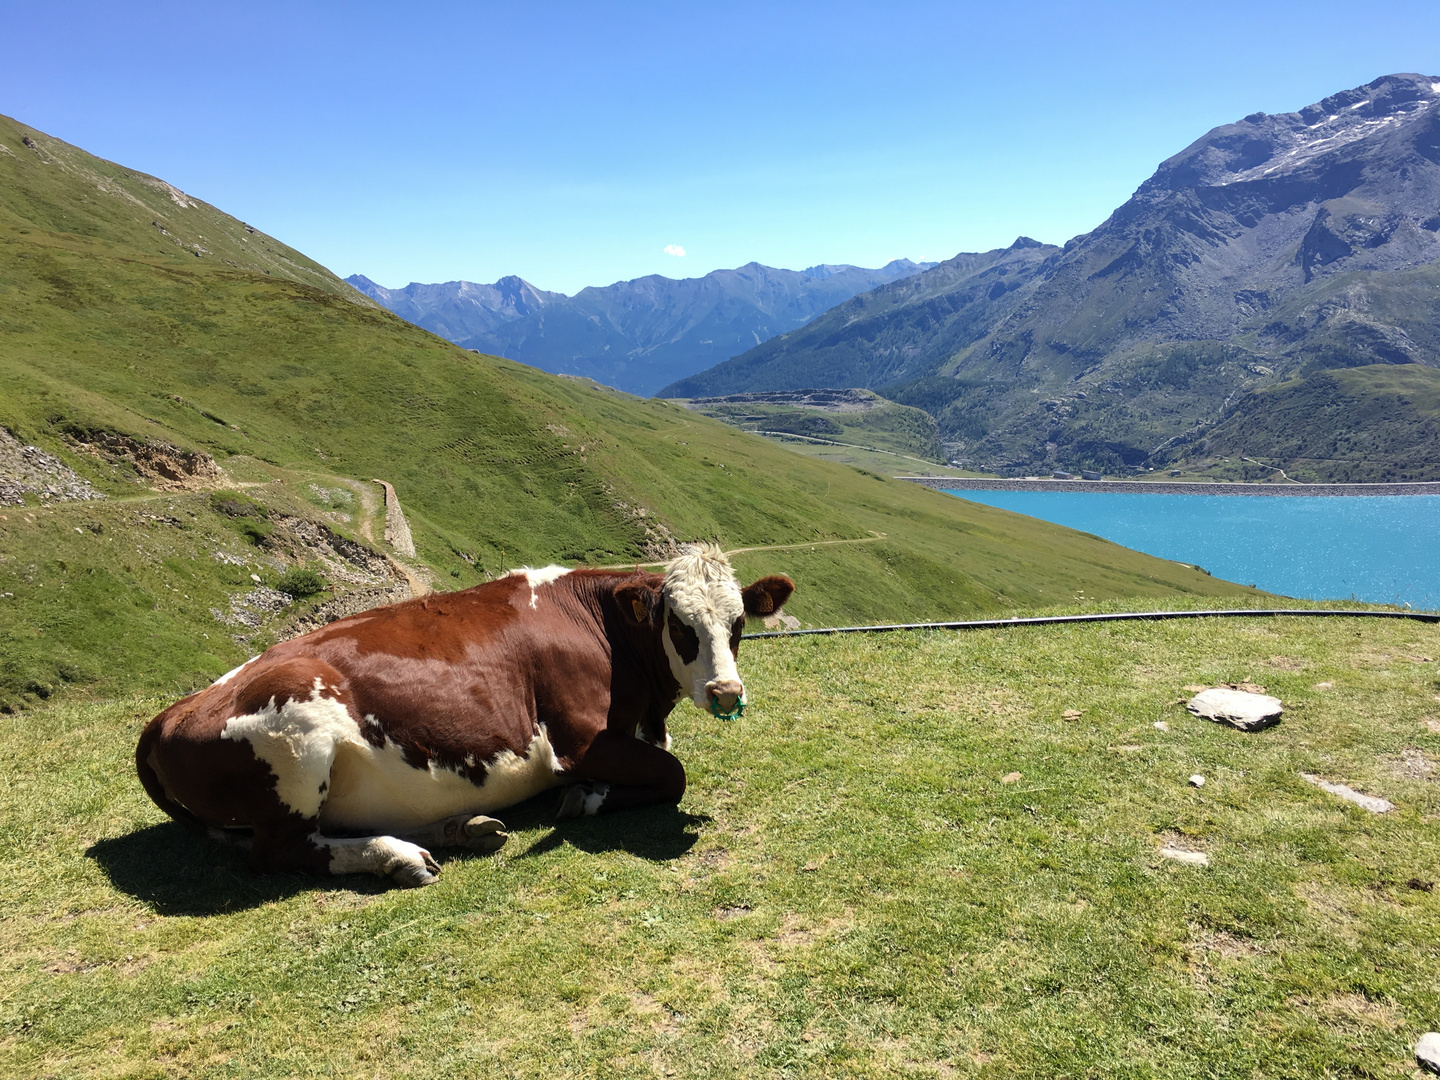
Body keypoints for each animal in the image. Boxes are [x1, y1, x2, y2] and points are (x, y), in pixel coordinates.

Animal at [132, 541, 800, 887]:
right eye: (680, 626)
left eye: (738, 622)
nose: (725, 692)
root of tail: (165, 717)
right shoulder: (579, 739)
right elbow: (671, 773)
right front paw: (584, 798)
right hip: (296, 739)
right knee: (279, 851)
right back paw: (395, 857)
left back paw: (461, 829)